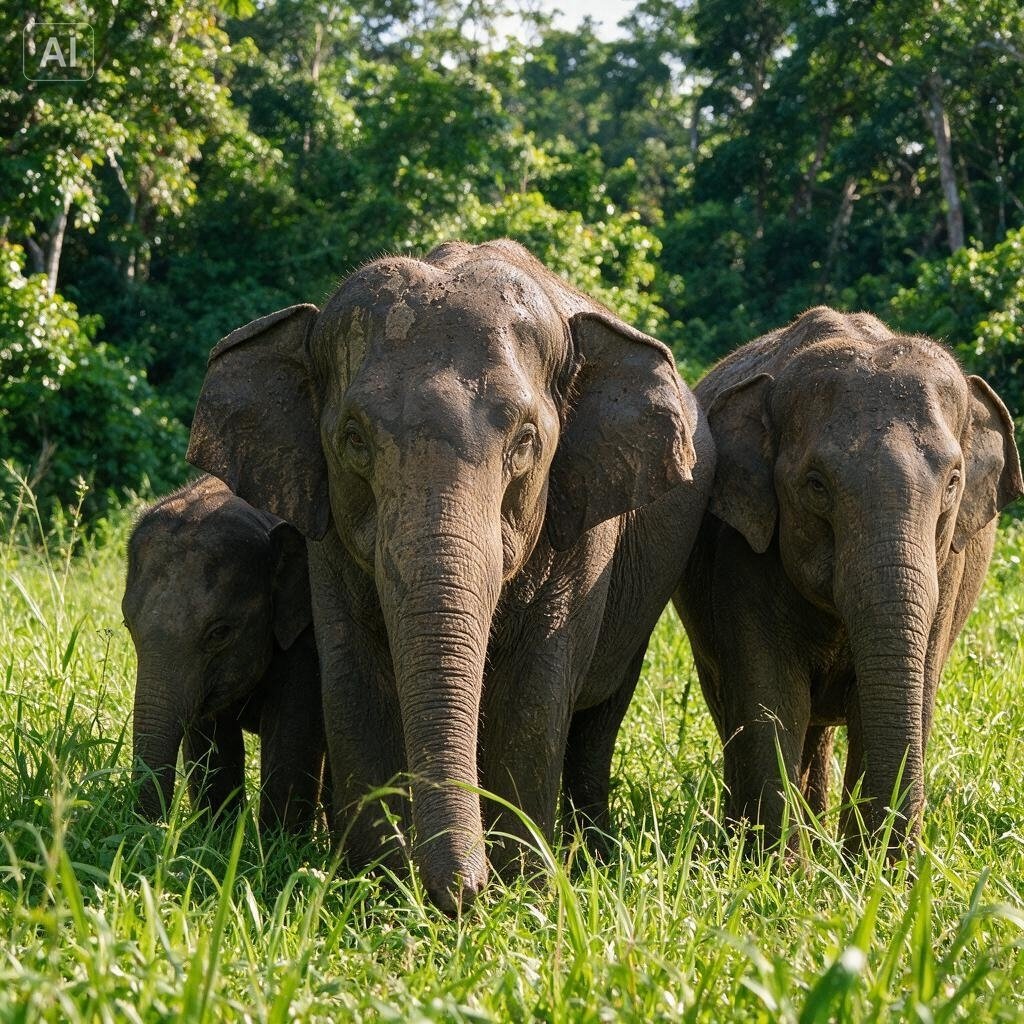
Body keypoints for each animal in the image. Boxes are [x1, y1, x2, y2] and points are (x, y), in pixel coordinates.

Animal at [124, 474, 327, 832]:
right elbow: (211, 740)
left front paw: (277, 843)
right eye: (127, 625)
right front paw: (217, 834)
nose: (156, 828)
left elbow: (292, 734)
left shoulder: (307, 635)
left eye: (220, 633)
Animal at [186, 238, 714, 912]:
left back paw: (592, 852)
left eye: (526, 441)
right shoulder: (325, 533)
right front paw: (378, 887)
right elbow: (353, 678)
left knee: (600, 716)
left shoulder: (582, 531)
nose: (460, 894)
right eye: (353, 439)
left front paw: (523, 894)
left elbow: (532, 695)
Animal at [674, 306, 1022, 856]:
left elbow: (900, 692)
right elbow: (771, 696)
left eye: (953, 482)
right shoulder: (740, 551)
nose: (899, 859)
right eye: (816, 485)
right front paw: (774, 868)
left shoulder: (950, 567)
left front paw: (873, 870)